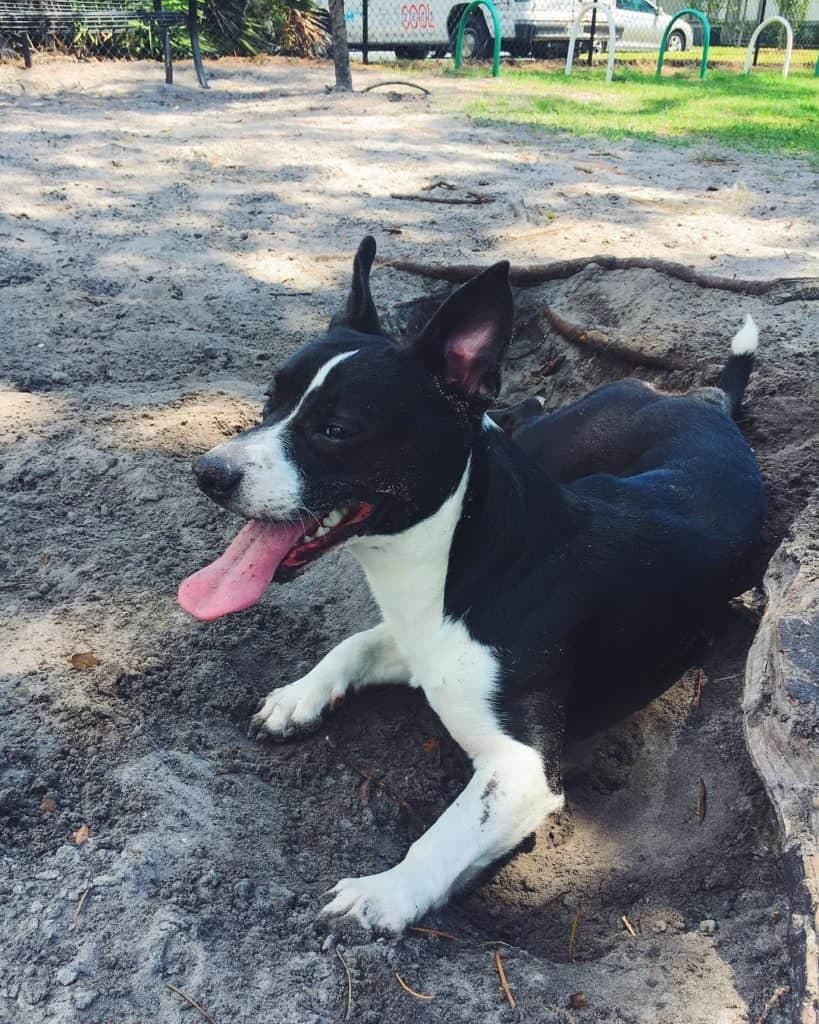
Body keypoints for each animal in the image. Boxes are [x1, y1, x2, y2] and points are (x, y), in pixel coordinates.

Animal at [177, 237, 761, 937]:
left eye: (337, 430)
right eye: (270, 399)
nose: (209, 473)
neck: (459, 547)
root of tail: (705, 402)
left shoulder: (523, 768)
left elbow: (446, 832)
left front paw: (385, 892)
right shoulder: (417, 642)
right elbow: (353, 644)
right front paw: (299, 697)